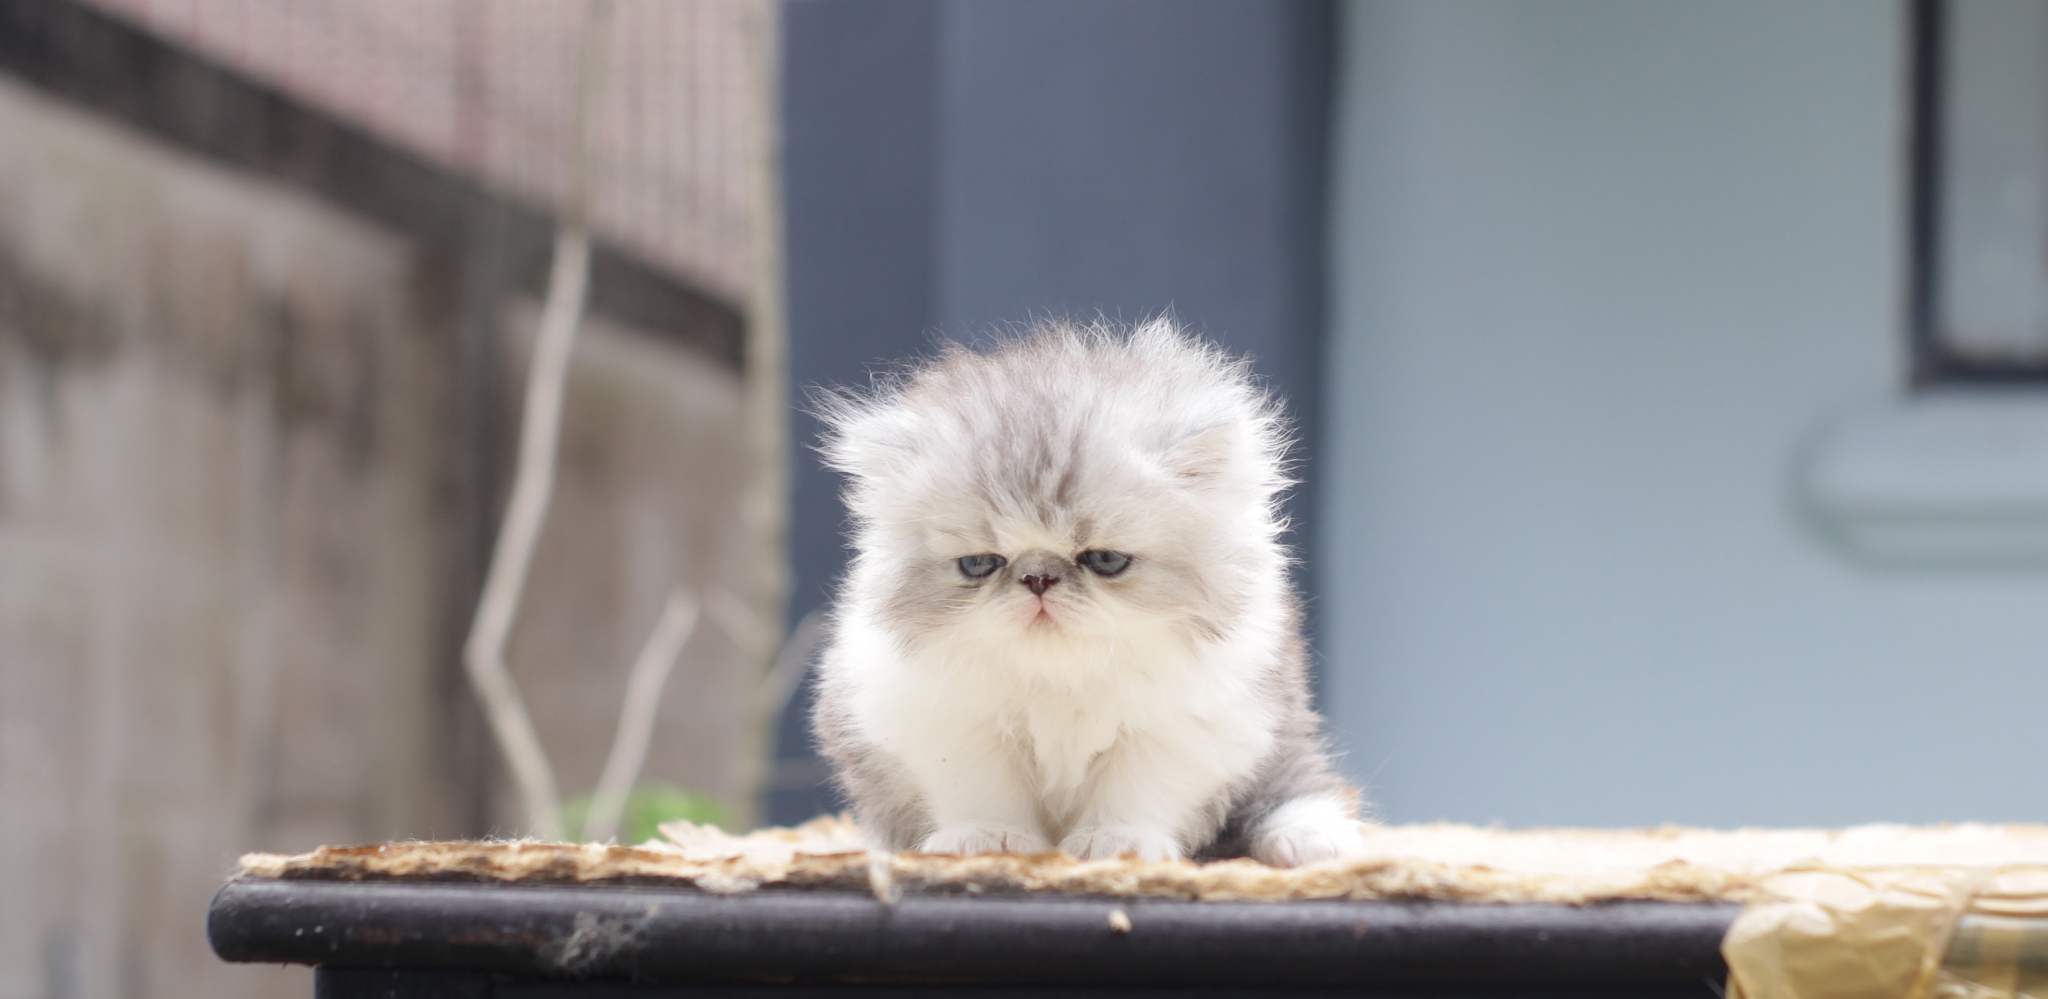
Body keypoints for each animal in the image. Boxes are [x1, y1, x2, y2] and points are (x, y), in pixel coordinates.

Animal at [809, 317, 1365, 866]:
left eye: (1105, 561)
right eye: (980, 564)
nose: (1038, 578)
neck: (1060, 674)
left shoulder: (1178, 728)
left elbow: (1134, 791)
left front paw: (1116, 844)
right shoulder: (952, 727)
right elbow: (985, 792)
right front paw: (991, 840)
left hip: (1277, 734)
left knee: (1295, 789)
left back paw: (1310, 840)